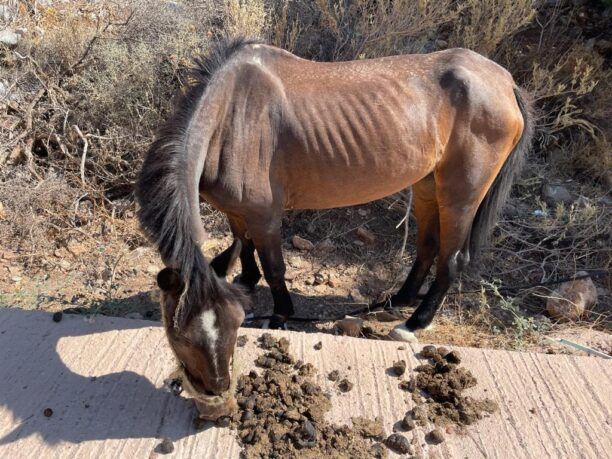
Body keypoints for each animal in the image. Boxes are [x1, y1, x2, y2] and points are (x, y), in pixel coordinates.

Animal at [134, 37, 532, 398]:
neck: (231, 118)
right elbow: (243, 246)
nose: (216, 389)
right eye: (179, 336)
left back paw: (415, 322)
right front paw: (246, 282)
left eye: (230, 330)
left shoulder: (264, 216)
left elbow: (274, 267)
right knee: (427, 247)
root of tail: (505, 81)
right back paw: (397, 302)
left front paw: (280, 315)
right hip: (426, 185)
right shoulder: (237, 211)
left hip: (460, 194)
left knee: (452, 259)